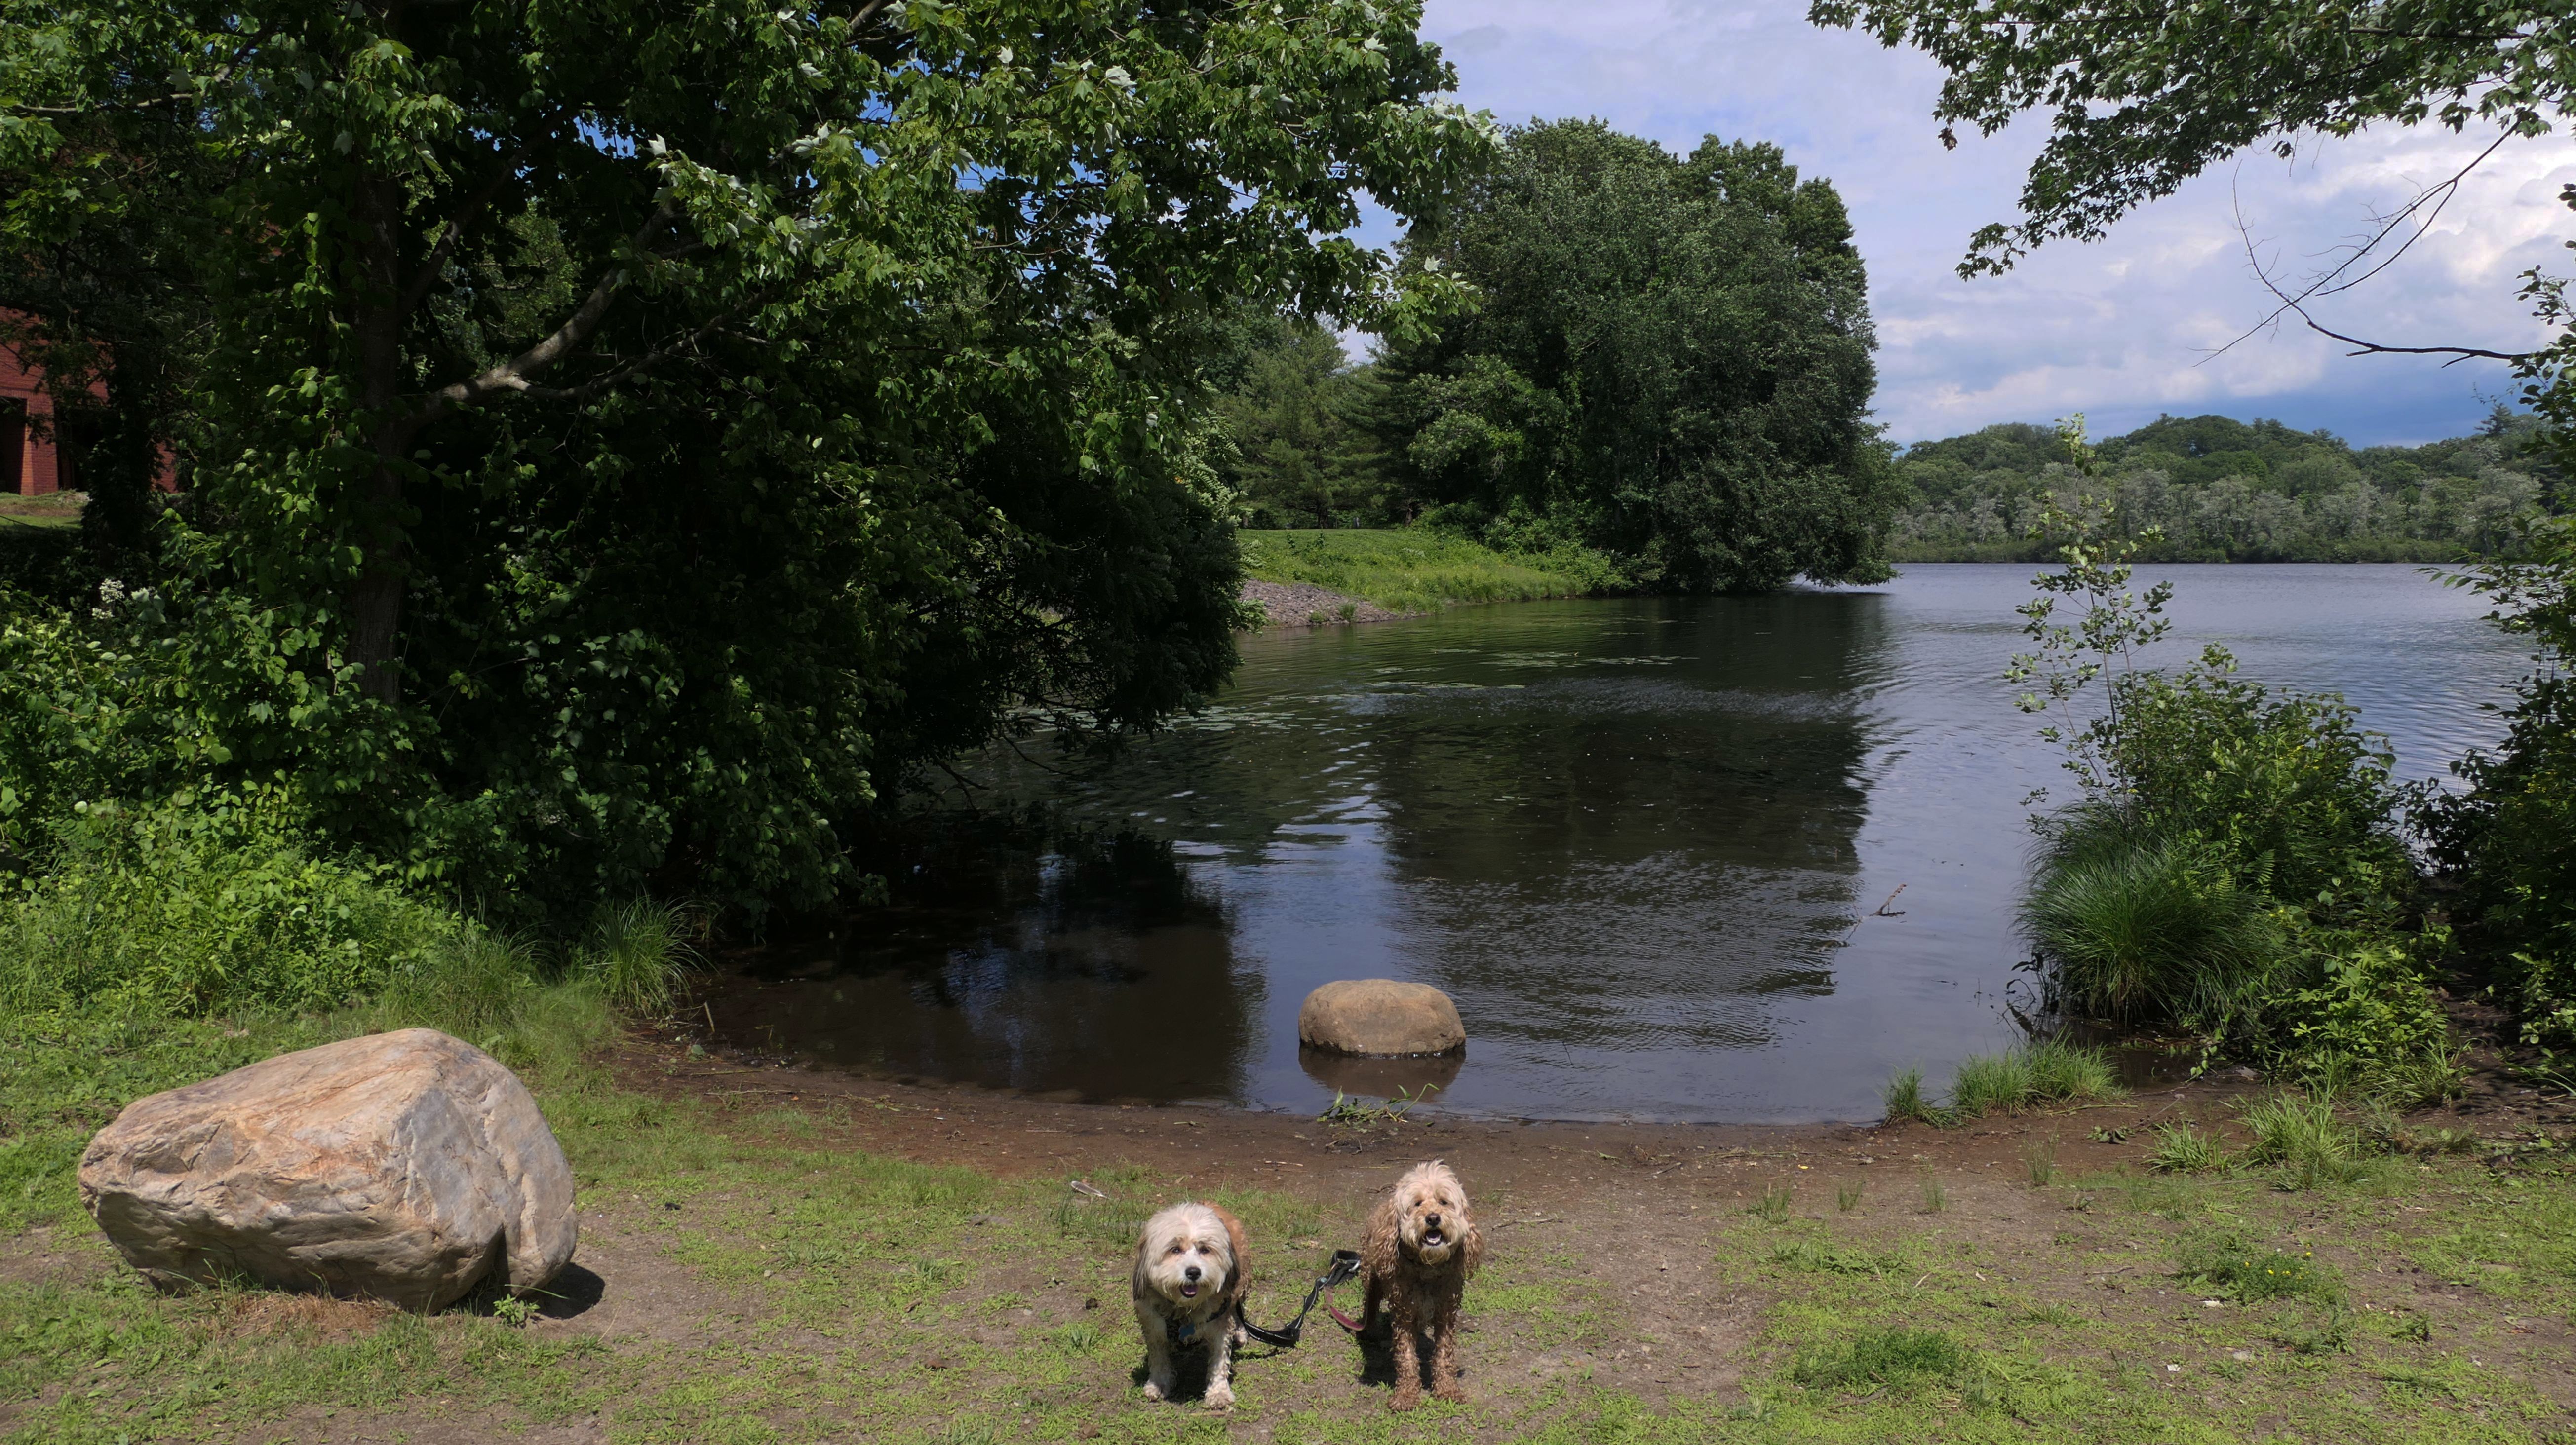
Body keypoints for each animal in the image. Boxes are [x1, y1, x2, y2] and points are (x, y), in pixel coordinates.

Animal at [1131, 1201, 1251, 1409]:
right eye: (1175, 1249)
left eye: (1205, 1249)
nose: (1194, 1272)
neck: (1185, 1310)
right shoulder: (1153, 1324)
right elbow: (1158, 1357)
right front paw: (1159, 1383)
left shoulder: (1220, 1324)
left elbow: (1219, 1361)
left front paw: (1219, 1393)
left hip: (1241, 1283)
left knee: (1238, 1310)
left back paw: (1241, 1332)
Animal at [1360, 1160, 1483, 1409]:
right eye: (1417, 1204)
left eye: (1444, 1202)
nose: (1433, 1218)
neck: (1427, 1268)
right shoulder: (1403, 1315)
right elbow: (1406, 1357)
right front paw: (1406, 1395)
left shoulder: (1446, 1313)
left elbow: (1444, 1354)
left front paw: (1447, 1389)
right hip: (1372, 1276)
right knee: (1371, 1305)